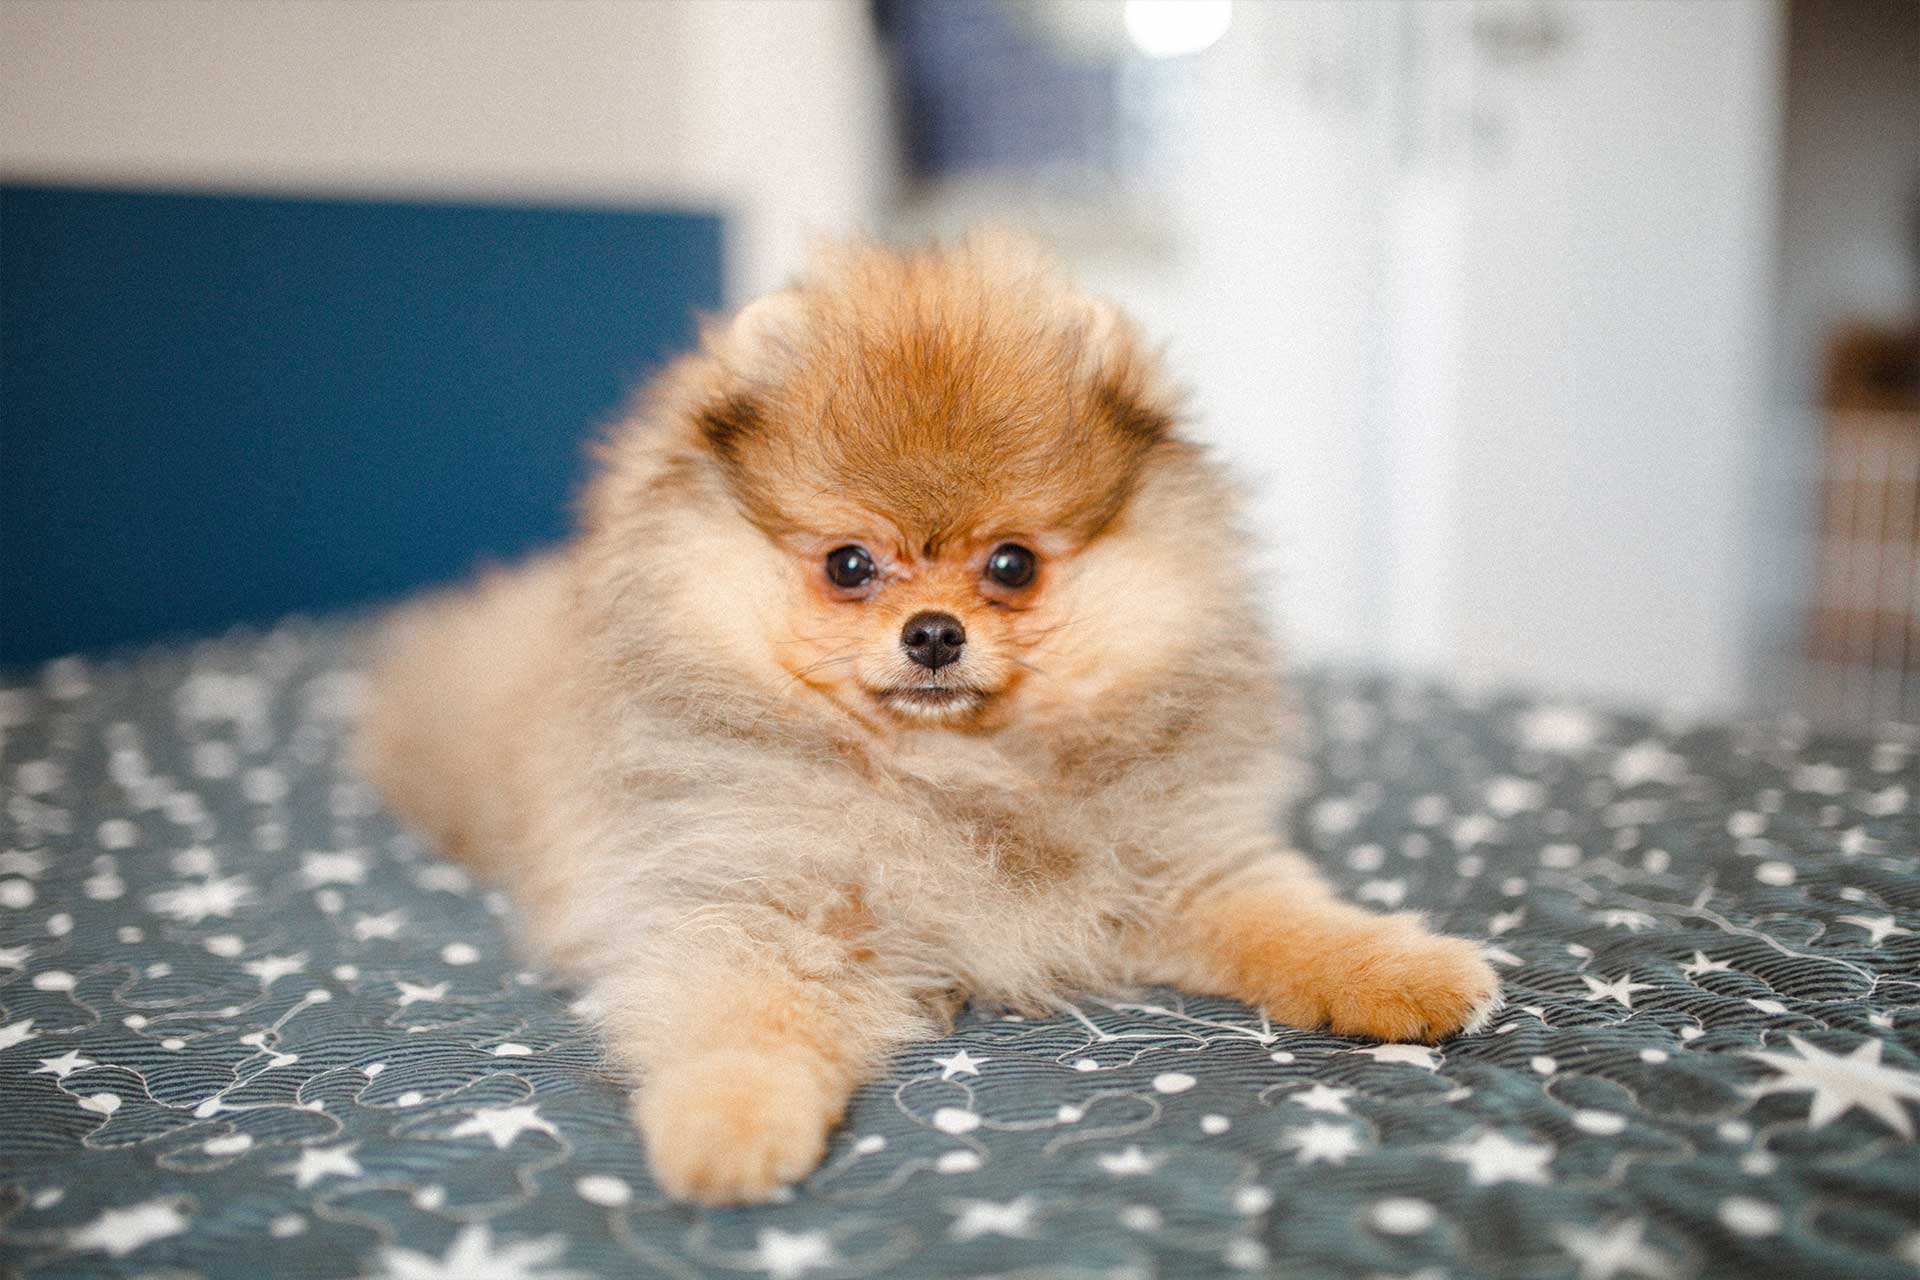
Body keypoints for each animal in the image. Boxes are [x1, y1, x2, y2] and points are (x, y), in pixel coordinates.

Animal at [362, 235, 1497, 1205]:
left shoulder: (1183, 863)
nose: (936, 632)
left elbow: (1295, 921)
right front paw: (728, 1124)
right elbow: (739, 1019)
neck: (950, 770)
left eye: (1013, 564)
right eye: (849, 564)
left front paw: (1404, 970)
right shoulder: (756, 897)